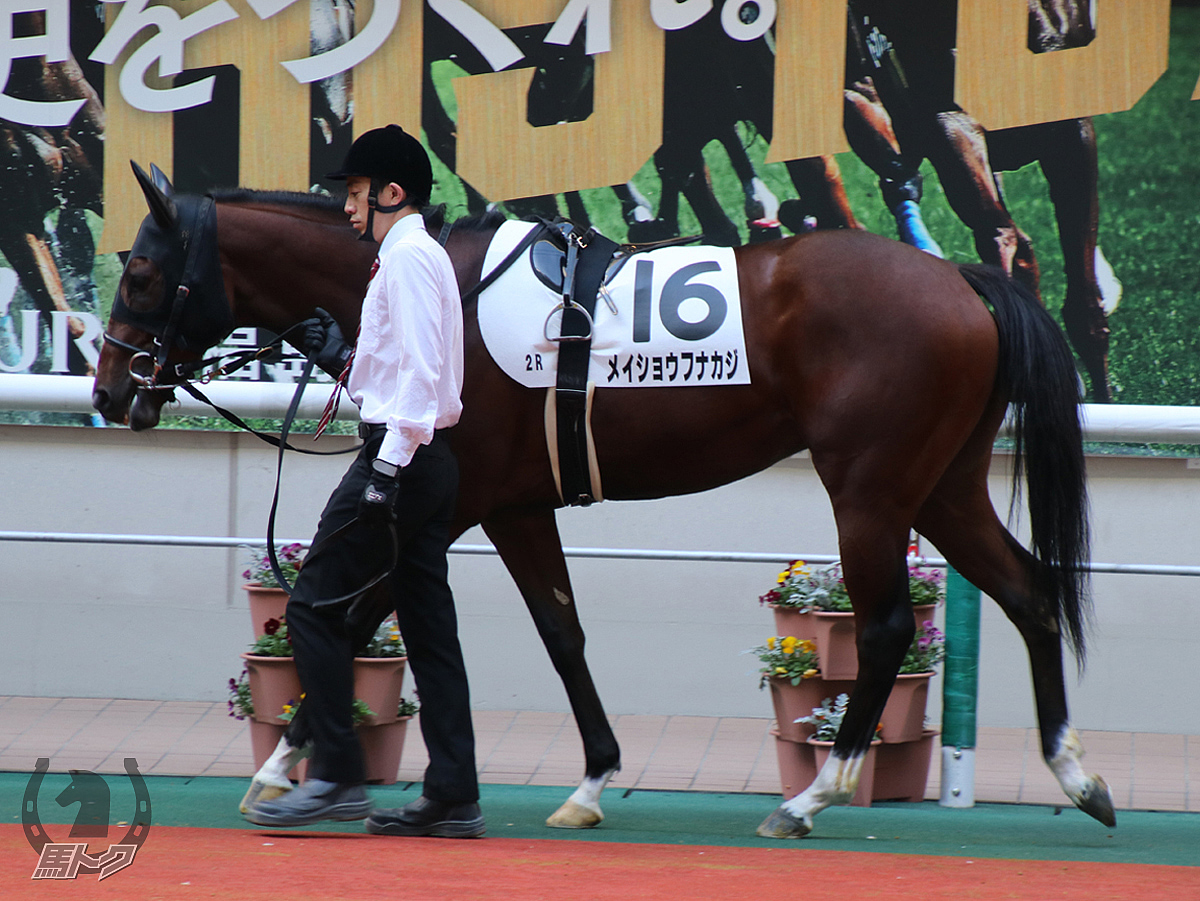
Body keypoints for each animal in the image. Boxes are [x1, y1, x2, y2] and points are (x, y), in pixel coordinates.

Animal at [93, 170, 1113, 839]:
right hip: (940, 482)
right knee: (1027, 589)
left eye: (140, 275)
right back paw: (1077, 774)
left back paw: (810, 797)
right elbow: (560, 629)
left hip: (867, 486)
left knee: (891, 623)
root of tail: (960, 279)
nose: (108, 391)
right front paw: (591, 779)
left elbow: (355, 616)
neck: (432, 282)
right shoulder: (512, 504)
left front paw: (281, 768)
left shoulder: (455, 501)